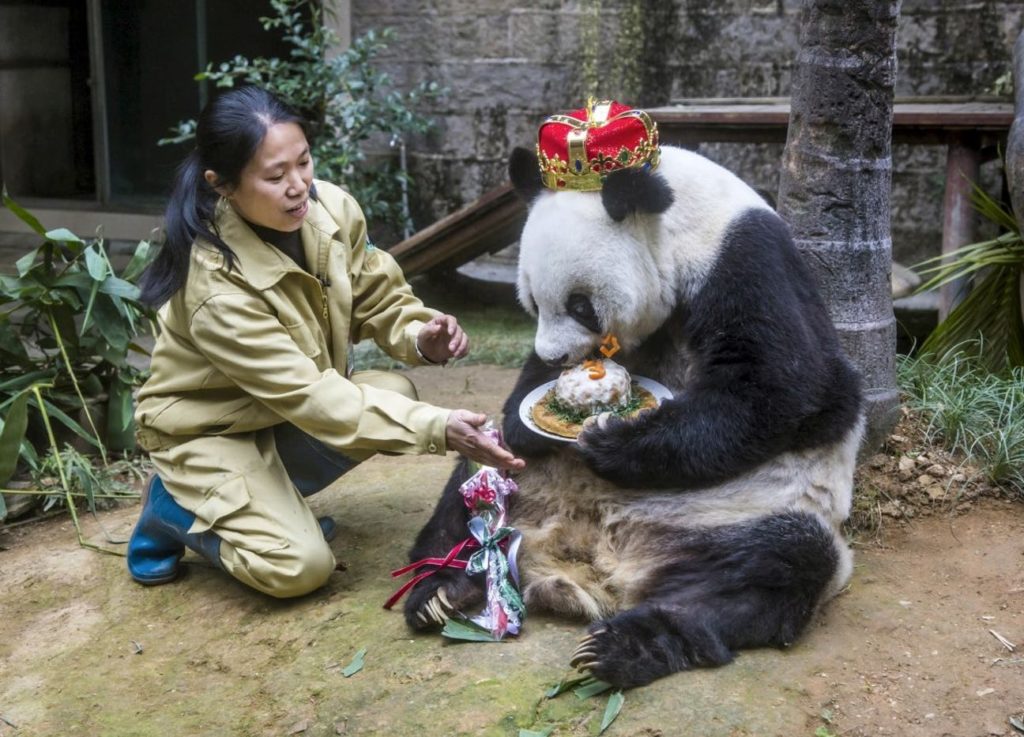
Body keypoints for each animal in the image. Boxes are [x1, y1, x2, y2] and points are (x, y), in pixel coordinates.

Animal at [402, 141, 865, 690]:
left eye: (580, 305)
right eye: (532, 301)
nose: (558, 356)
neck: (679, 221)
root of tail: (590, 557)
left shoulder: (747, 261)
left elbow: (787, 386)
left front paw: (614, 444)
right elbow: (527, 397)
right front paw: (529, 419)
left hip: (755, 508)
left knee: (773, 568)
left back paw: (626, 645)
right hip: (520, 482)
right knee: (466, 483)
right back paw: (440, 589)